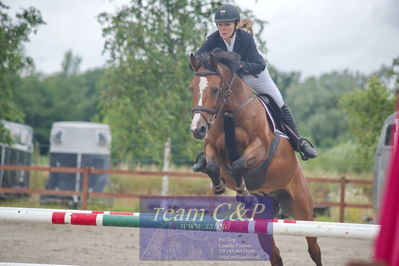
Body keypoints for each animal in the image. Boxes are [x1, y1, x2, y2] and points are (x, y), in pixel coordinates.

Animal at [189, 48, 324, 266]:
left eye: (215, 90)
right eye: (191, 88)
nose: (197, 129)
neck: (229, 113)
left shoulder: (260, 148)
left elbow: (238, 164)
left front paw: (243, 193)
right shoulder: (212, 147)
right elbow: (212, 165)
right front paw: (218, 186)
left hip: (303, 211)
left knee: (314, 249)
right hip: (264, 217)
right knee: (274, 254)